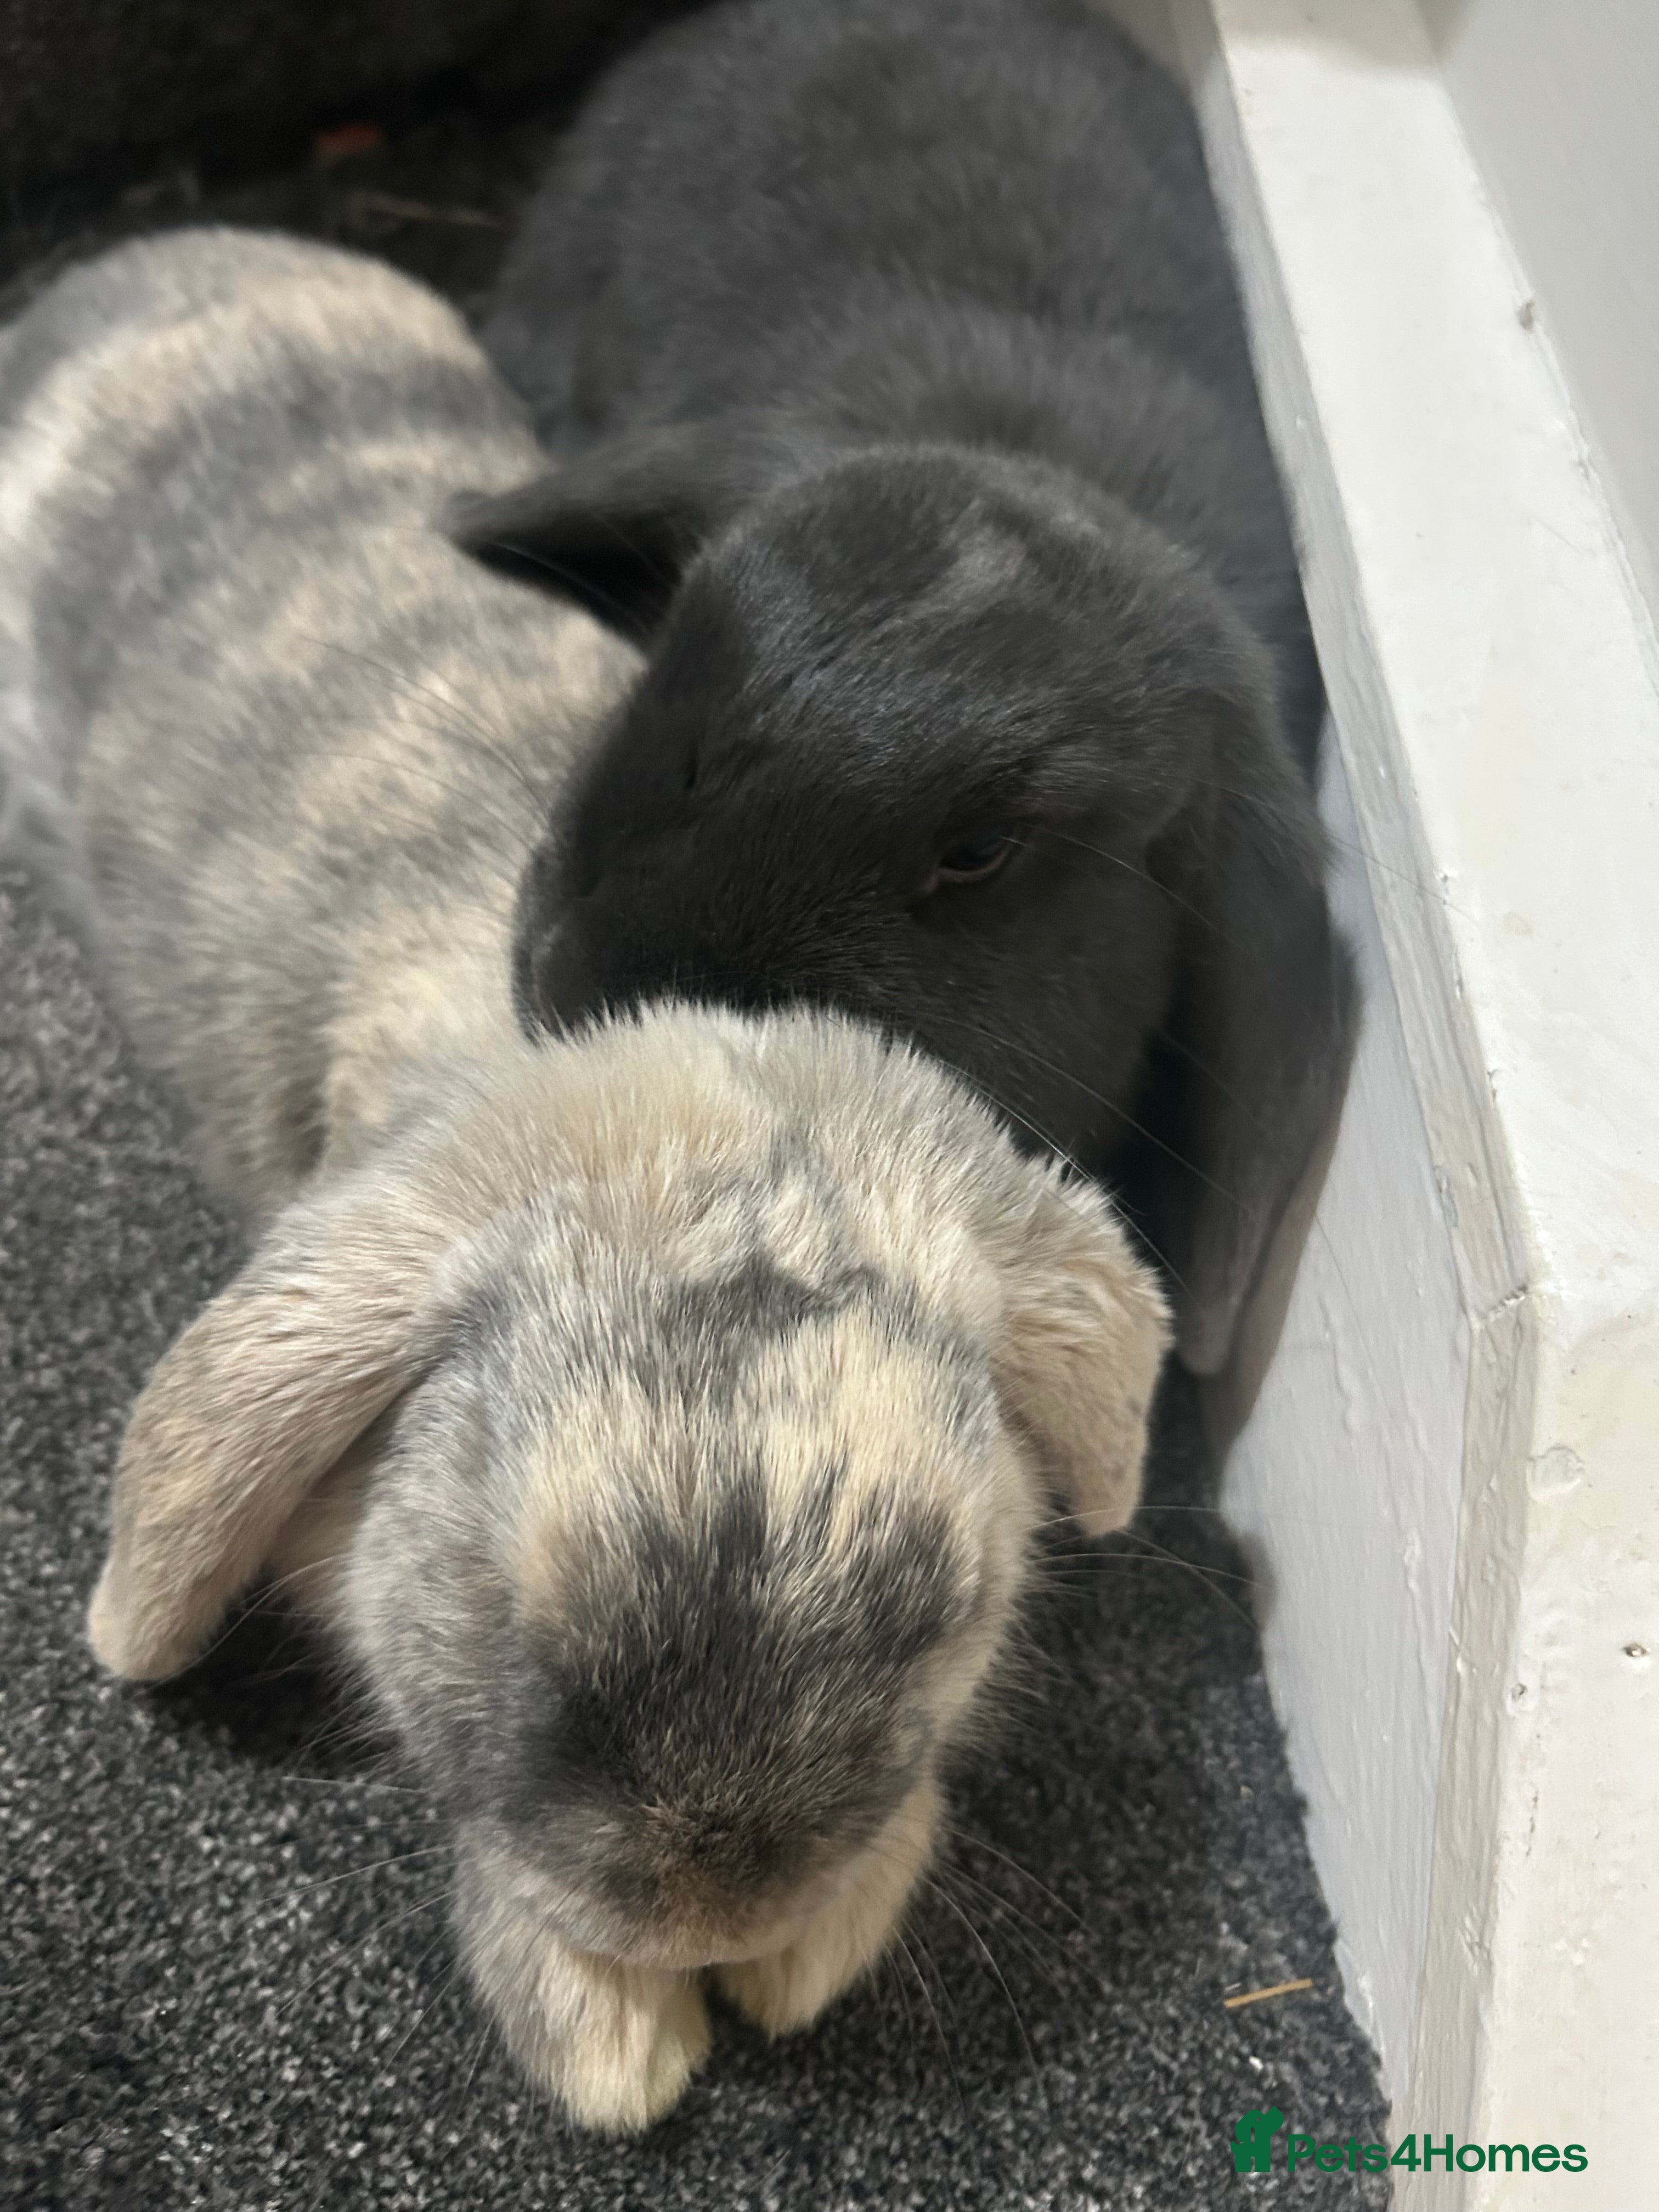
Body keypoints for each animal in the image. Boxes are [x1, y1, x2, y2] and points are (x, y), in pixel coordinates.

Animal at [0, 228, 1171, 2133]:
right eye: (524, 1637)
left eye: (935, 1622)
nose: (724, 1902)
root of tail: (161, 252)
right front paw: (618, 2048)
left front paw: (808, 1955)